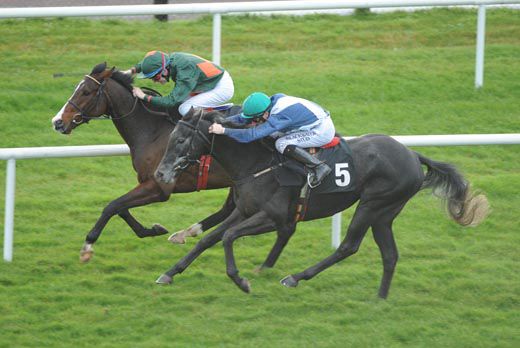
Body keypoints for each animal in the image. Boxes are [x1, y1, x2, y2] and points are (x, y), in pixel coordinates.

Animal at [50, 63, 234, 260]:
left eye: (86, 92)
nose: (57, 122)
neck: (153, 131)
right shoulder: (147, 183)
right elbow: (120, 208)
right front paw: (153, 230)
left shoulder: (159, 187)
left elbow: (112, 206)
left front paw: (88, 245)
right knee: (228, 209)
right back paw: (184, 233)